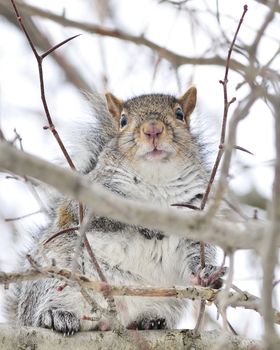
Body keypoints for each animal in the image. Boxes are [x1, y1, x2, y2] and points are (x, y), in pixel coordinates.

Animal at [5, 85, 226, 334]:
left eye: (179, 114)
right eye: (123, 120)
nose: (153, 129)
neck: (156, 179)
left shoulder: (195, 213)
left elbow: (198, 253)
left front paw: (205, 274)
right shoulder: (87, 198)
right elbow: (95, 216)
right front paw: (146, 225)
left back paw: (151, 321)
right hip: (54, 273)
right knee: (39, 313)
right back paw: (55, 316)